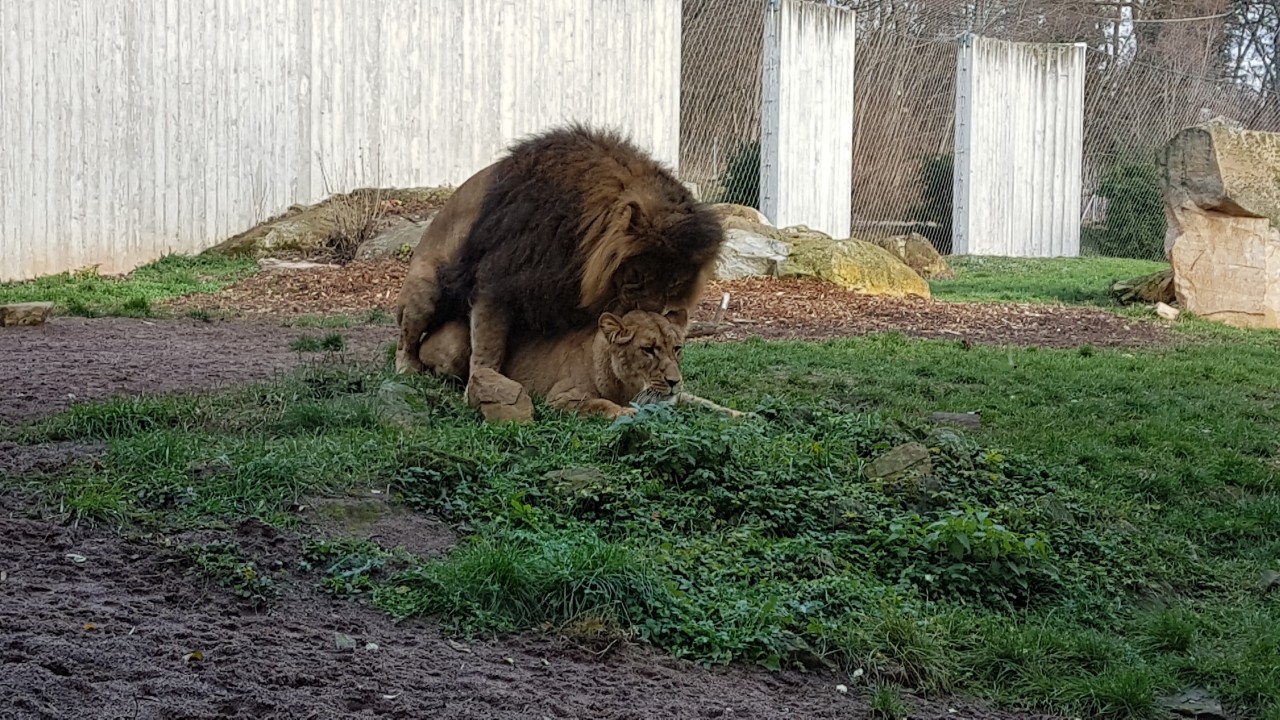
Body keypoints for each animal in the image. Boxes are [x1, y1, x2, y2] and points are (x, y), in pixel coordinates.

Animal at [389, 120, 727, 407]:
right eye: (638, 277)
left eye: (674, 284)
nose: (652, 317)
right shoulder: (497, 279)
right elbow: (487, 350)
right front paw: (481, 389)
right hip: (425, 289)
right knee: (407, 340)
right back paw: (407, 369)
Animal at [414, 308, 747, 420]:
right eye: (648, 350)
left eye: (677, 349)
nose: (674, 381)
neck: (630, 385)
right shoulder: (558, 399)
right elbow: (600, 404)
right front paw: (625, 411)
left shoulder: (674, 398)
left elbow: (705, 402)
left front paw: (745, 415)